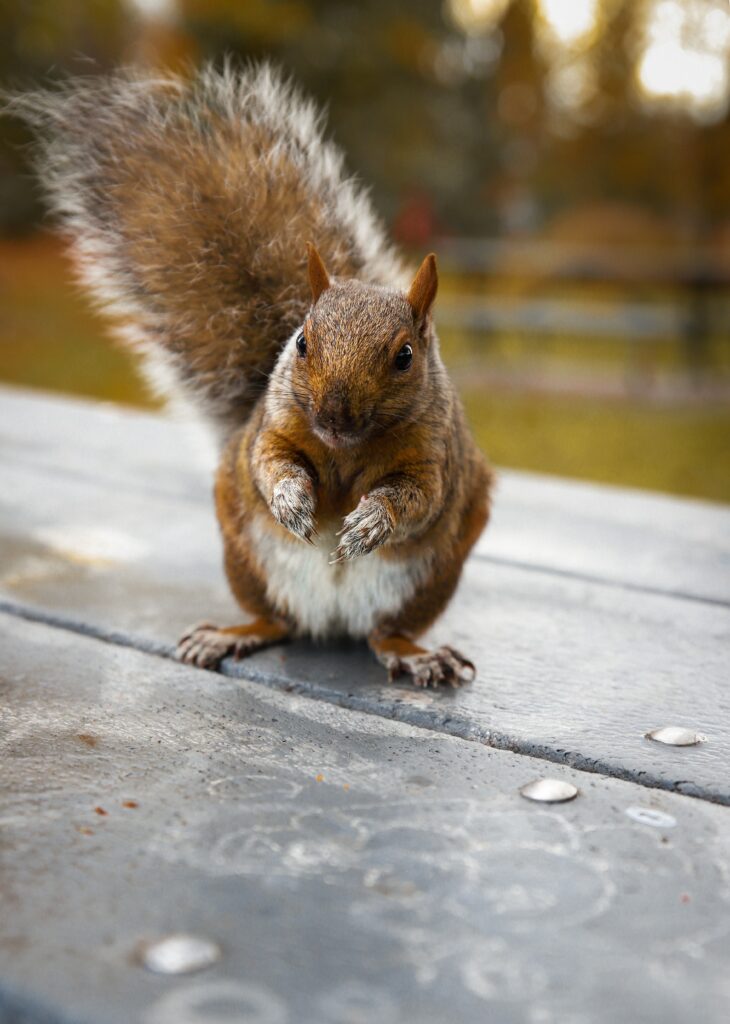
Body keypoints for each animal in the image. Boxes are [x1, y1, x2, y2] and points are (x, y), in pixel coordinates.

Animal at [10, 63, 493, 687]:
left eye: (406, 356)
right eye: (302, 342)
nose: (335, 414)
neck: (346, 452)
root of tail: (330, 618)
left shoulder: (435, 458)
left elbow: (418, 500)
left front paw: (369, 523)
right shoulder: (273, 428)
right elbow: (269, 465)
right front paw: (292, 501)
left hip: (423, 585)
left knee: (383, 634)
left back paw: (417, 653)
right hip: (248, 564)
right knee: (277, 621)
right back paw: (231, 633)